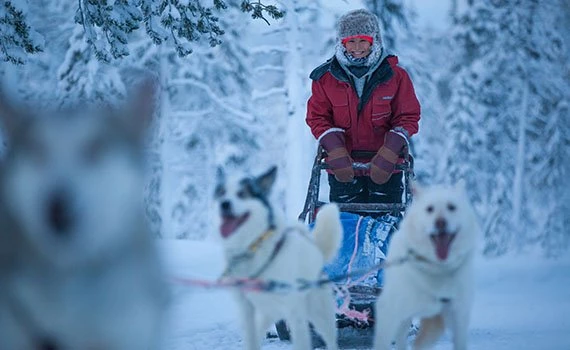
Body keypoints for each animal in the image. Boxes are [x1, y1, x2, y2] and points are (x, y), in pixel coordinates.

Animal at [214, 167, 342, 350]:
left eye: (242, 194)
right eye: (221, 193)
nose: (224, 204)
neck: (252, 248)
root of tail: (316, 252)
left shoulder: (295, 312)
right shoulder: (246, 309)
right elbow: (250, 339)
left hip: (319, 314)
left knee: (330, 338)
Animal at [374, 183, 478, 350]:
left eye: (451, 207)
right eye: (429, 209)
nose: (440, 222)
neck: (437, 269)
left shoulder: (459, 315)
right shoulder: (389, 311)